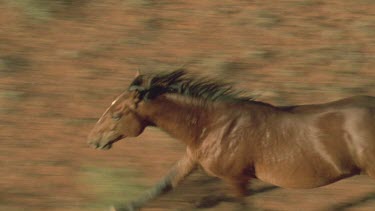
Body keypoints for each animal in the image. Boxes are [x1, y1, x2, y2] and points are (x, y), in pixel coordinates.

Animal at [88, 69, 375, 211]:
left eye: (116, 114)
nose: (93, 140)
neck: (211, 125)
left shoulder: (236, 178)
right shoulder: (191, 160)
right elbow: (163, 185)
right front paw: (119, 205)